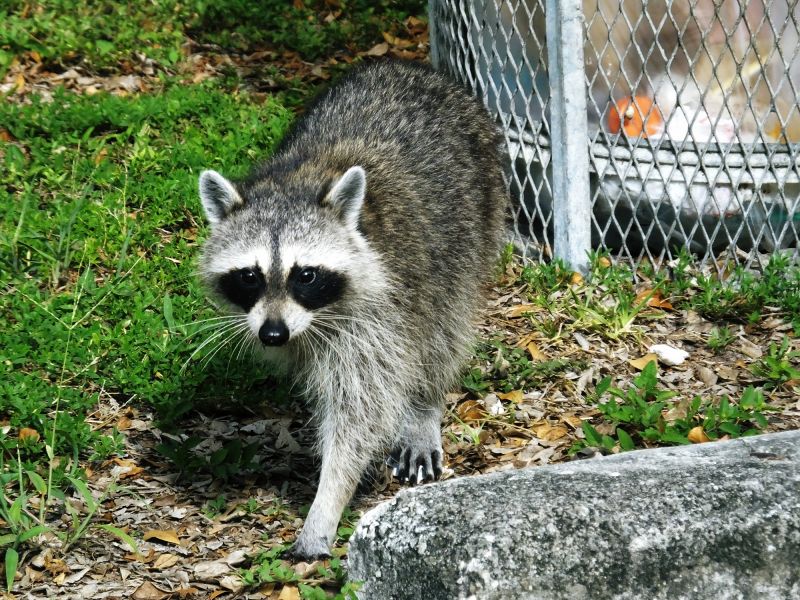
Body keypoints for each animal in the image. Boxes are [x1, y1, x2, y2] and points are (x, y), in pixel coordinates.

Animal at [197, 60, 507, 559]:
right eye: (250, 276)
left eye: (305, 275)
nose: (273, 335)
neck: (295, 183)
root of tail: (410, 67)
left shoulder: (380, 312)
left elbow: (361, 410)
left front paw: (327, 501)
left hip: (476, 218)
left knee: (443, 328)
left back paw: (423, 407)